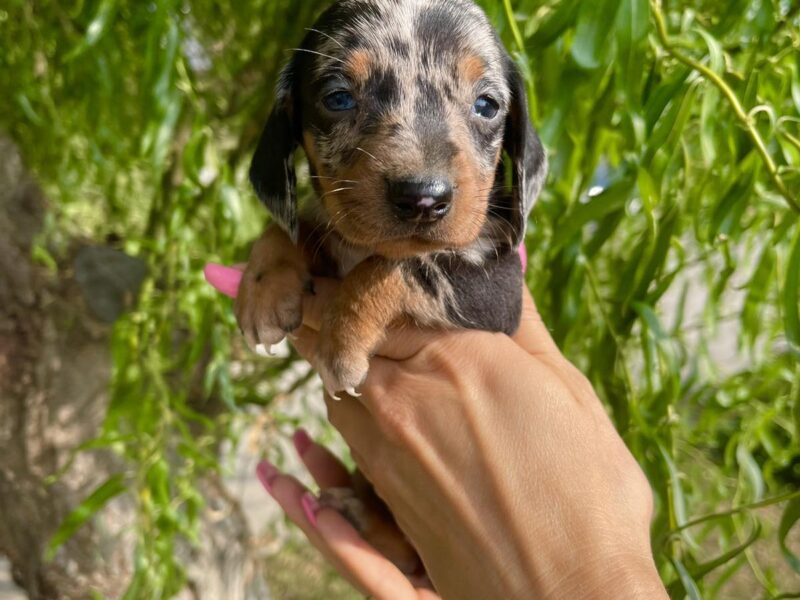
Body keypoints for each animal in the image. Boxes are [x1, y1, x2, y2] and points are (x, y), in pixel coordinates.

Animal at [238, 0, 548, 576]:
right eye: (338, 97)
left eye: (487, 105)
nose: (423, 197)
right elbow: (299, 224)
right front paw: (264, 284)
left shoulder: (497, 290)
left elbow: (404, 265)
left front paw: (341, 336)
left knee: (408, 550)